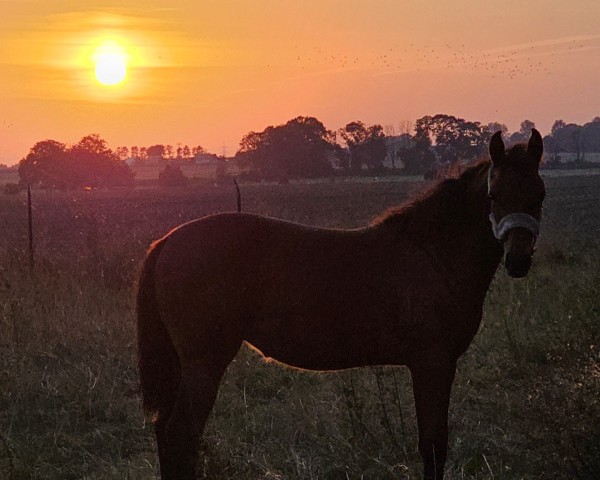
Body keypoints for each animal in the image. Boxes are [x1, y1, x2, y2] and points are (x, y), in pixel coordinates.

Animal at [137, 129, 548, 478]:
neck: (433, 253)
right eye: (494, 196)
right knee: (180, 436)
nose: (517, 261)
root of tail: (168, 241)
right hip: (204, 362)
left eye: (539, 196)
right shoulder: (432, 363)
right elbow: (433, 446)